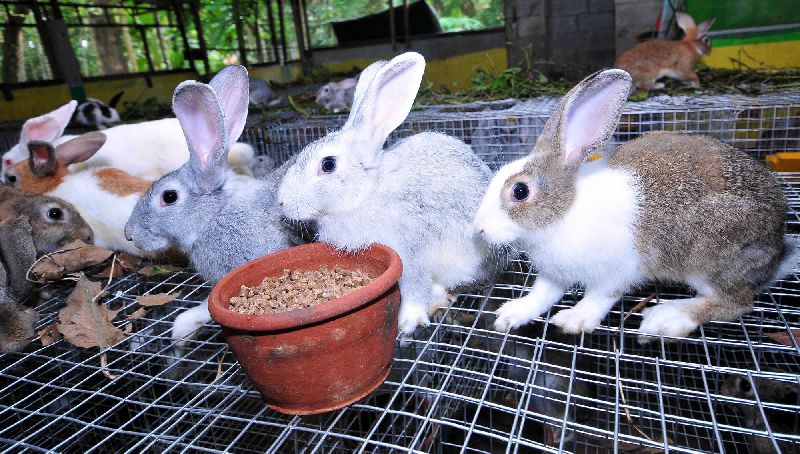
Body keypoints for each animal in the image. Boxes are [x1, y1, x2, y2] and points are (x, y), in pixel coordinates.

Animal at [282, 54, 506, 336]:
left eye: (328, 164)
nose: (281, 202)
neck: (367, 192)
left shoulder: (409, 251)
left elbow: (414, 285)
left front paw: (408, 322)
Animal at [476, 69, 792, 342]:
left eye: (520, 191)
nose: (478, 230)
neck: (563, 213)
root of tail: (779, 247)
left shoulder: (616, 271)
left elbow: (598, 297)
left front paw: (573, 320)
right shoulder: (554, 274)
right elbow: (542, 294)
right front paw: (511, 314)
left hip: (709, 258)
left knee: (737, 302)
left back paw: (668, 318)